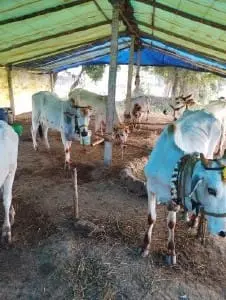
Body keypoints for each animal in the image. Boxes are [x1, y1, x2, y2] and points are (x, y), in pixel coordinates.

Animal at [141, 109, 226, 264]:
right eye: (211, 190)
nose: (223, 232)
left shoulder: (174, 199)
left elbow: (171, 223)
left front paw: (171, 252)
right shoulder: (150, 188)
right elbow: (151, 218)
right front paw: (145, 246)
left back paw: (194, 223)